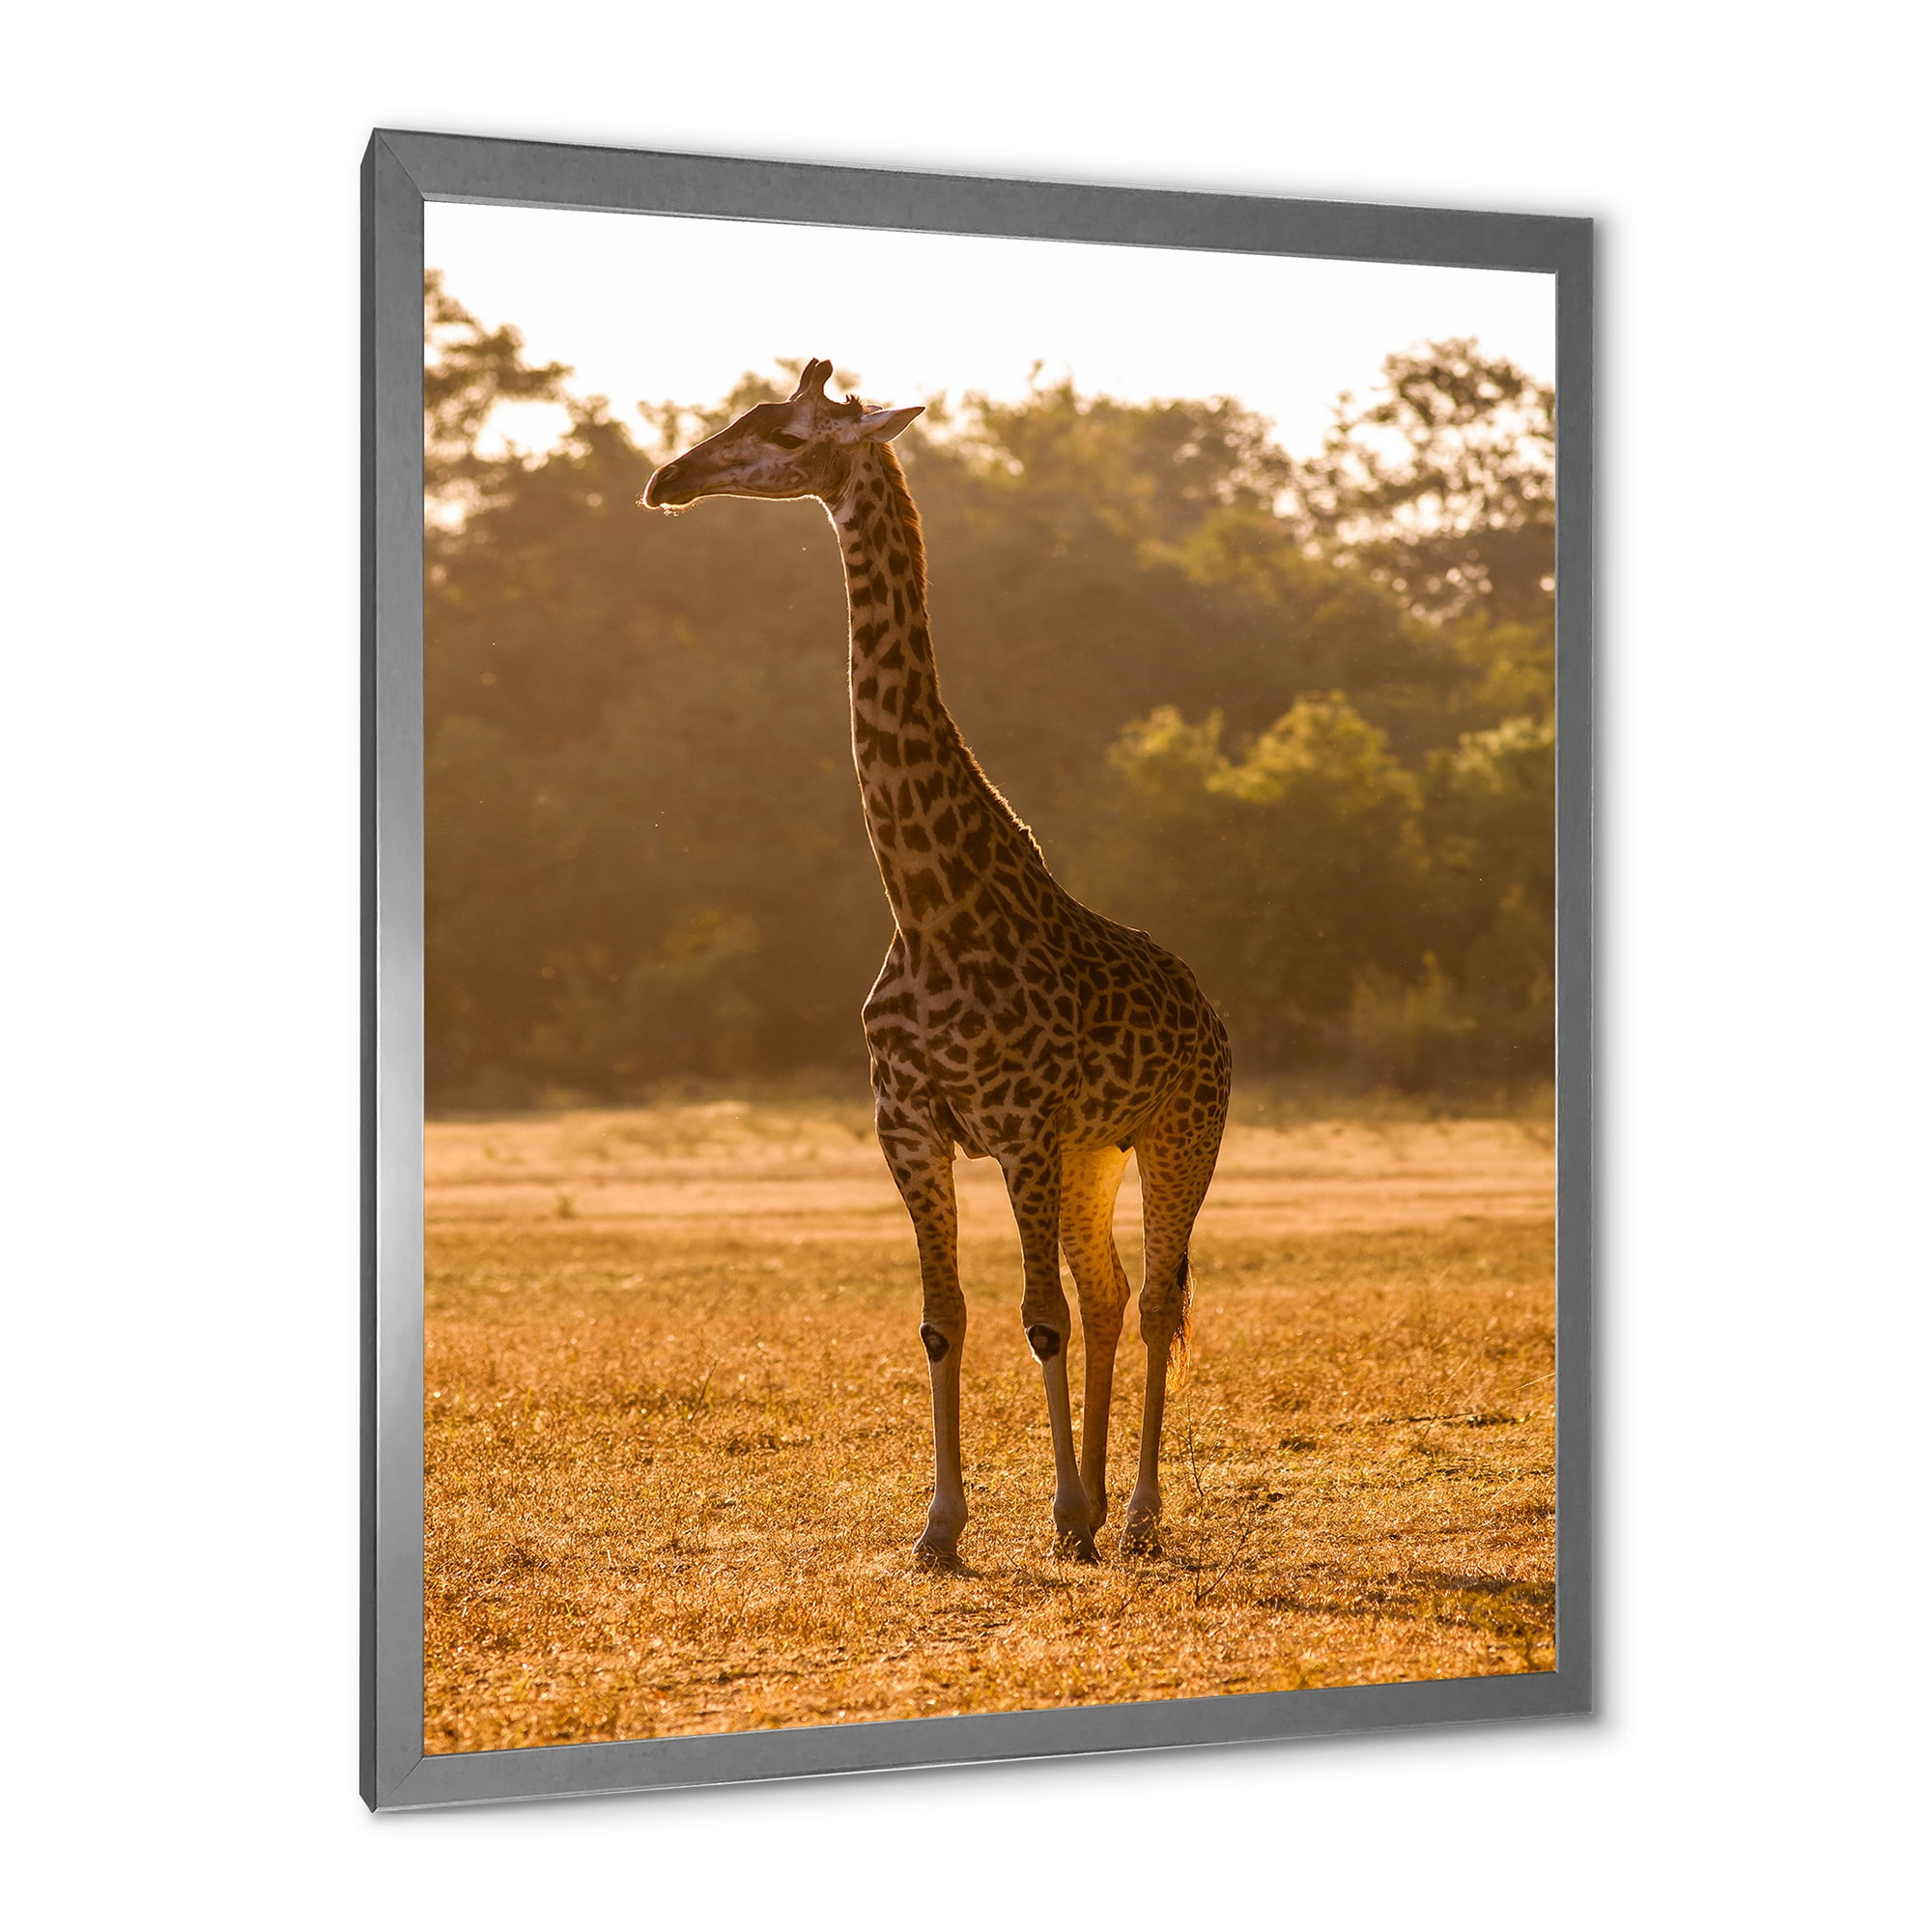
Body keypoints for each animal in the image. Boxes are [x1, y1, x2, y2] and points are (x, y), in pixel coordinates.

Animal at [643, 360, 1231, 1565]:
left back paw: (1133, 1512)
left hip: (1177, 1131)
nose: (666, 478)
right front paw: (943, 1526)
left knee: (1152, 1298)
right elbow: (942, 1317)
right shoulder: (910, 1128)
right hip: (1092, 1149)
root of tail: (1211, 1012)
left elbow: (1034, 1318)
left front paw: (1057, 1510)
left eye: (783, 432)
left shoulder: (1015, 1126)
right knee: (1107, 1294)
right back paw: (1096, 1503)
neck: (926, 904)